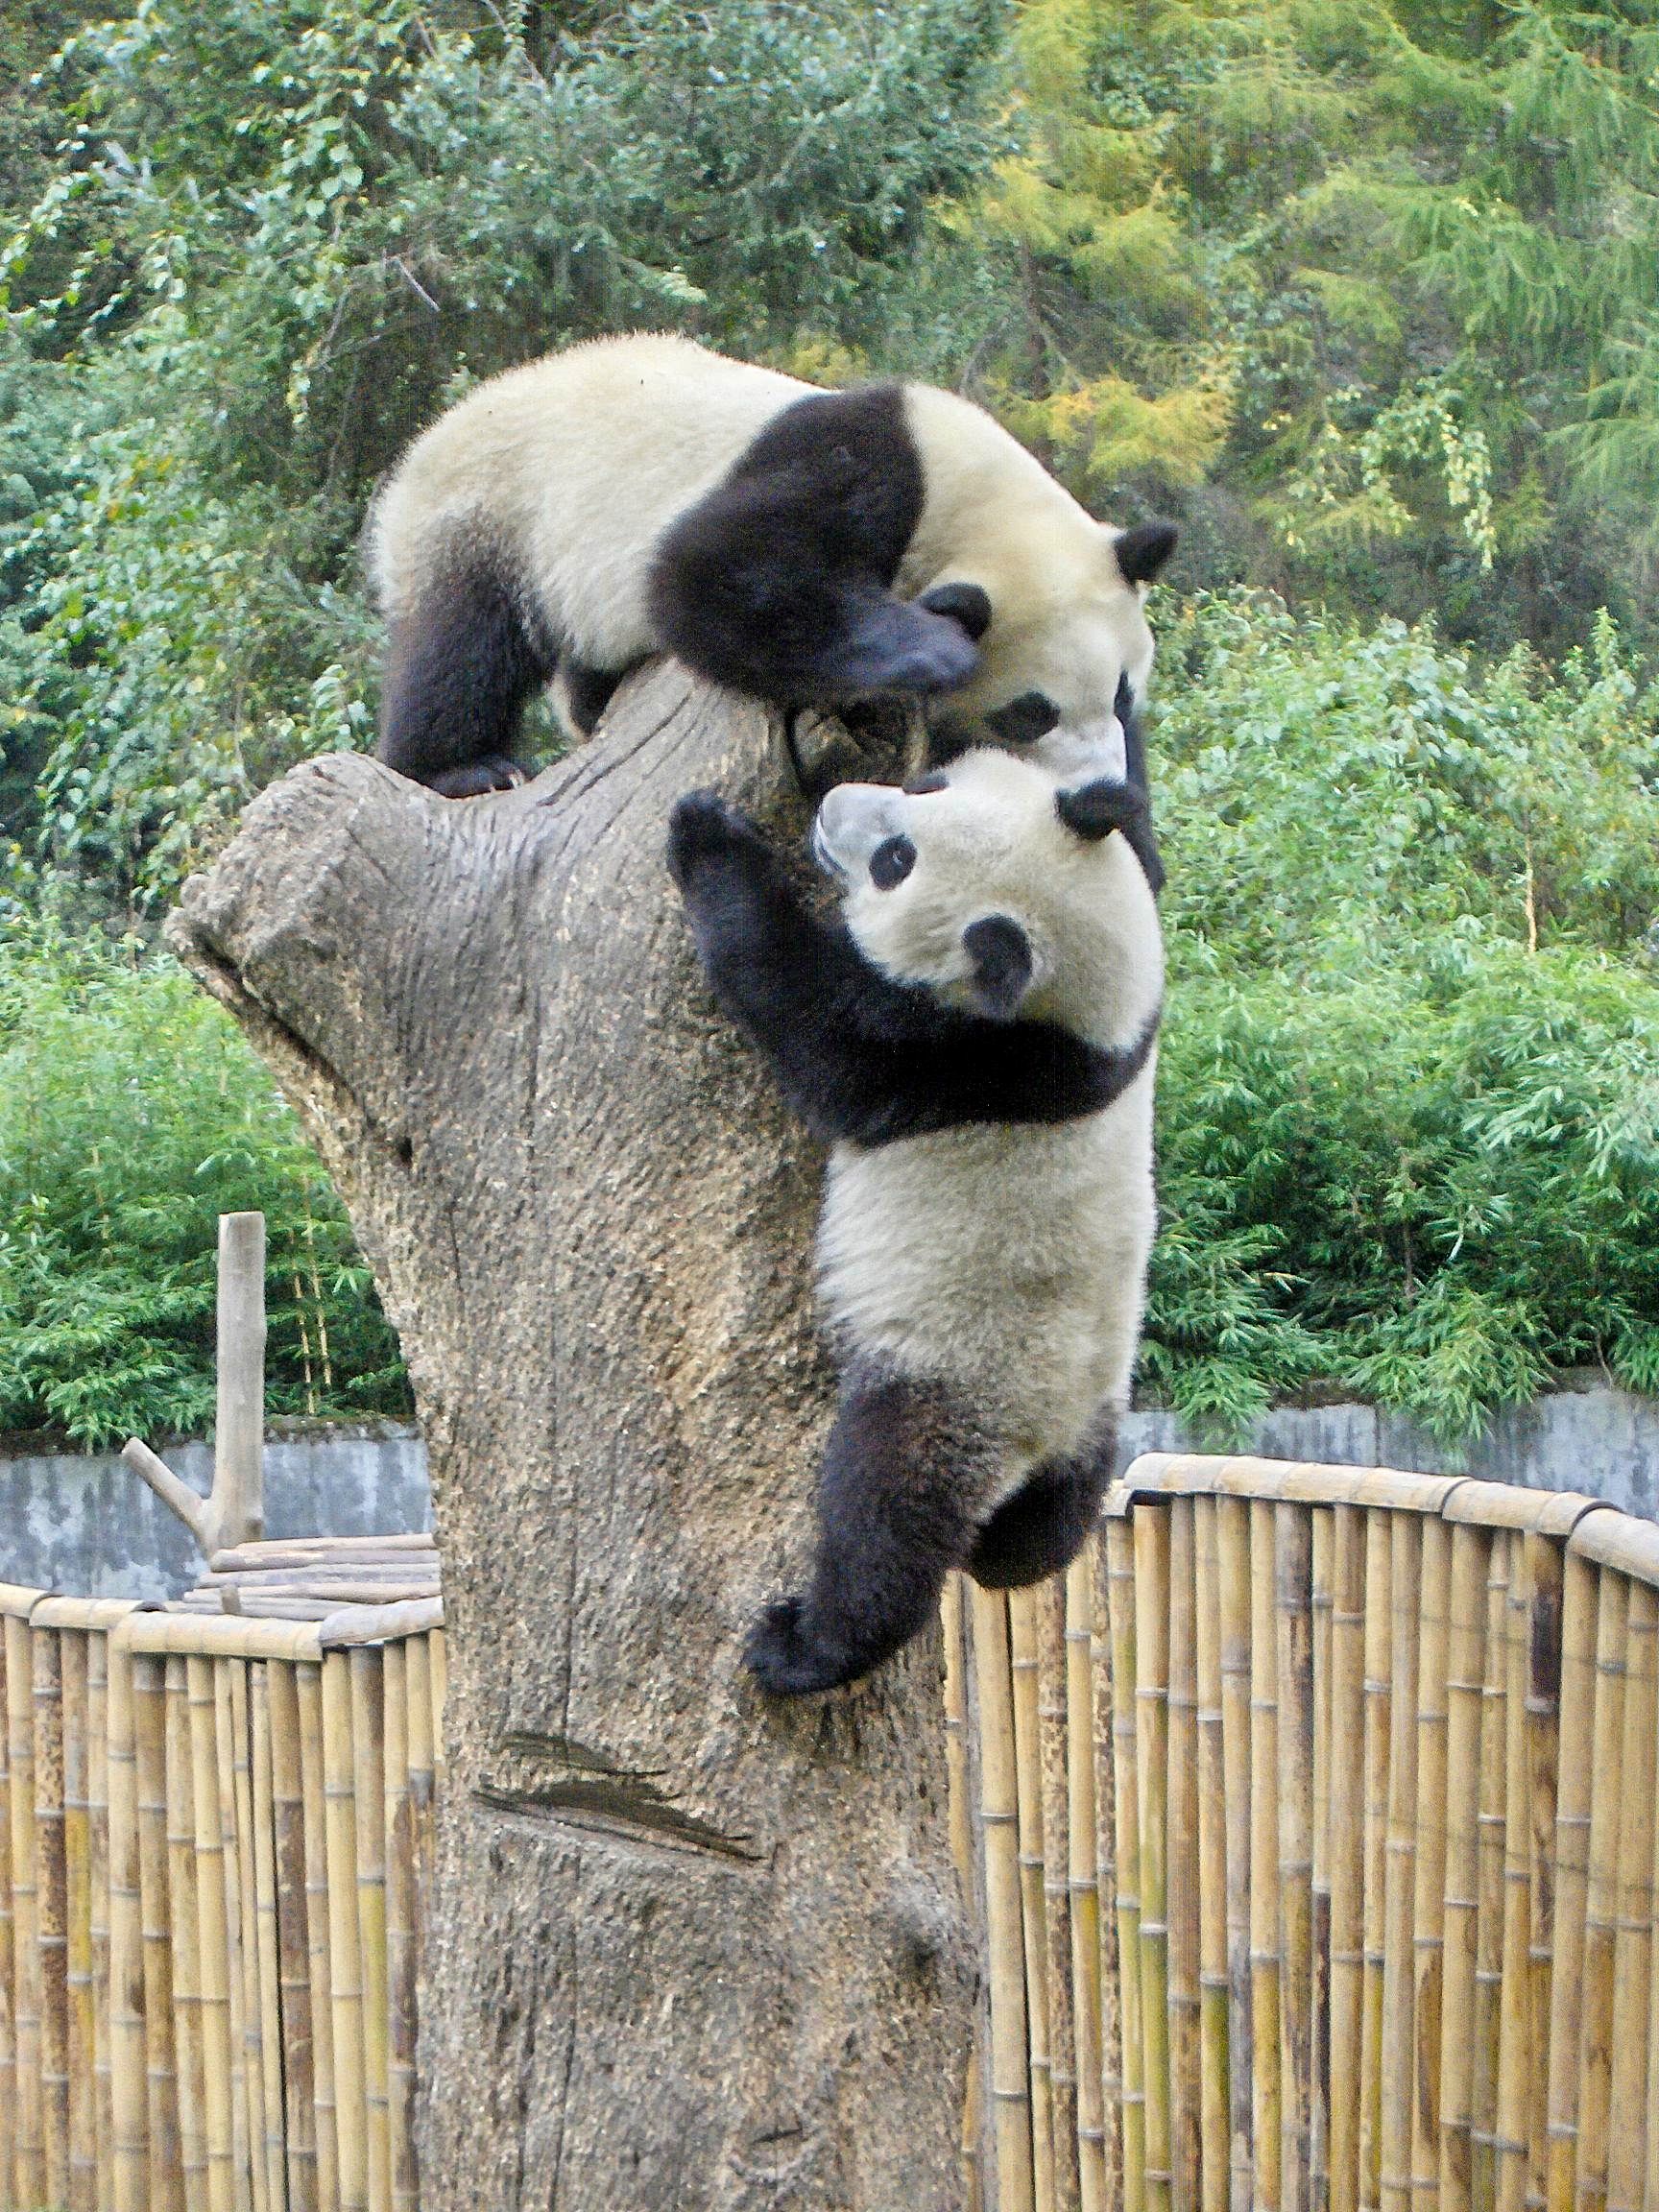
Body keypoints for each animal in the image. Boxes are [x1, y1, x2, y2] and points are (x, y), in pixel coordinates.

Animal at [367, 333, 1177, 797]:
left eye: (1123, 696)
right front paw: (932, 649)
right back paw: (465, 767)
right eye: (1030, 712)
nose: (1101, 787)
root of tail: (429, 437)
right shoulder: (860, 468)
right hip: (492, 510)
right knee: (463, 645)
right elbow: (712, 572)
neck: (972, 498)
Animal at [666, 742, 1163, 1694]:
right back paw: (1004, 1553)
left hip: (945, 1383)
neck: (1079, 1033)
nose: (831, 808)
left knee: (887, 1522)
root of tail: (1034, 1445)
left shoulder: (951, 1056)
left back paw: (805, 1647)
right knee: (1045, 1540)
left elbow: (817, 1028)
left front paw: (705, 831)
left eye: (898, 863)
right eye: (926, 783)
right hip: (1094, 1424)